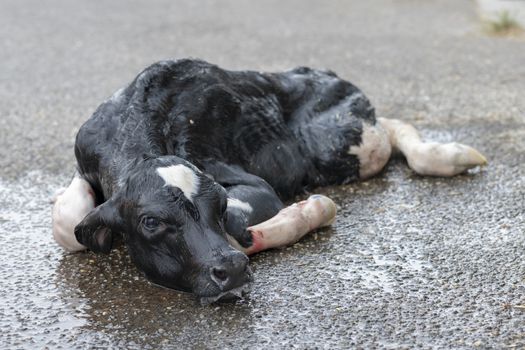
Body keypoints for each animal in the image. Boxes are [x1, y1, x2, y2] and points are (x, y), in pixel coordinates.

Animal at [51, 59, 486, 304]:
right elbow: (66, 222)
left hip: (341, 145)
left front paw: (309, 211)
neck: (133, 123)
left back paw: (448, 155)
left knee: (388, 131)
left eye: (219, 204)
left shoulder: (248, 181)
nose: (231, 269)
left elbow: (243, 226)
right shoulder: (84, 153)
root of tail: (324, 72)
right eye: (151, 222)